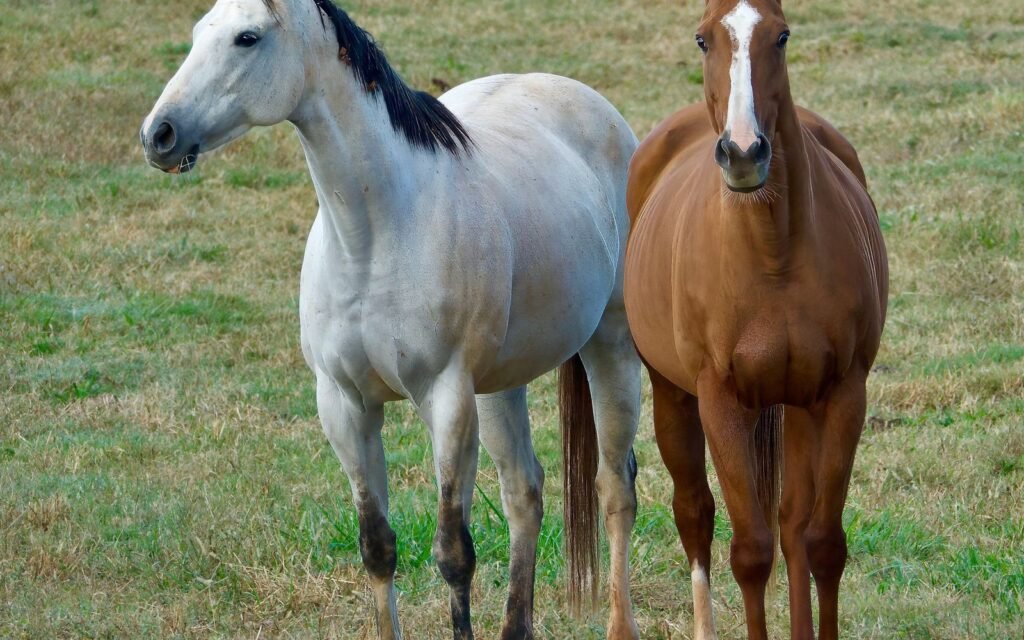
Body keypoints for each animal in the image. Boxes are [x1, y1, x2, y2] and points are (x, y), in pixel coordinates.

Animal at [140, 0, 642, 638]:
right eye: (198, 32)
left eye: (246, 38)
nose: (159, 134)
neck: (376, 236)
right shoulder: (344, 406)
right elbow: (377, 547)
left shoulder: (447, 401)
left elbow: (454, 554)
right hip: (499, 387)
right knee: (524, 493)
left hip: (611, 347)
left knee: (614, 488)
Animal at [623, 1, 888, 638]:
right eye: (702, 39)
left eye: (782, 36)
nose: (743, 152)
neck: (774, 255)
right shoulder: (720, 402)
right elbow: (749, 551)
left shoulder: (843, 393)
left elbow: (822, 543)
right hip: (672, 396)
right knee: (695, 513)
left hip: (798, 403)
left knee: (793, 526)